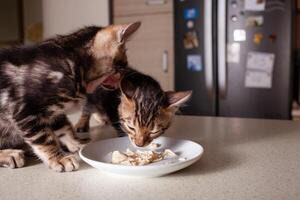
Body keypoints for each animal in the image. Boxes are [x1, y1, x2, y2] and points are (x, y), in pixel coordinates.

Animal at [0, 22, 142, 172]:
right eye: (122, 66)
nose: (123, 78)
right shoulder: (26, 111)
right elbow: (44, 139)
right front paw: (58, 158)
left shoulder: (54, 112)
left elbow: (64, 127)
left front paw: (76, 143)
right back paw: (10, 154)